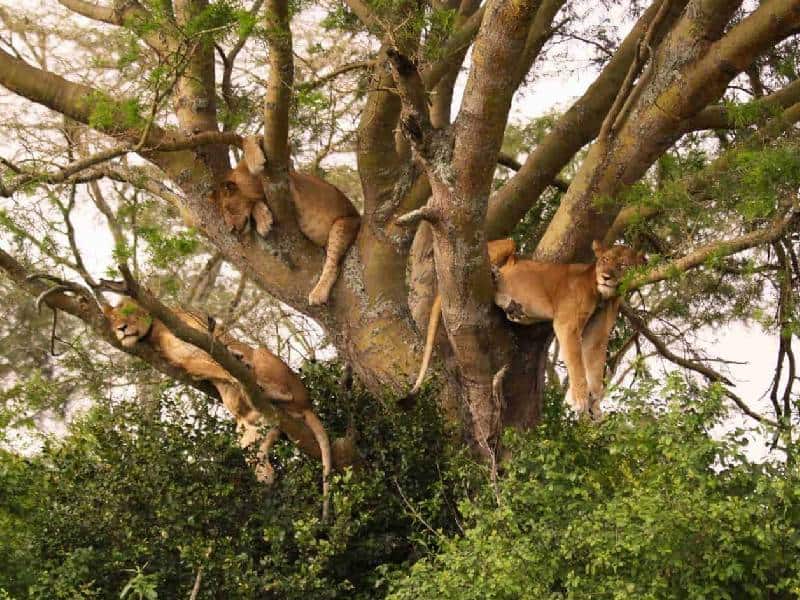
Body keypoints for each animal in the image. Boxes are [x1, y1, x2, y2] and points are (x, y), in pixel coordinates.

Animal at [103, 299, 332, 519]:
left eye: (130, 313)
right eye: (113, 319)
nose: (120, 328)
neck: (155, 331)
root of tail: (308, 404)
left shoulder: (203, 337)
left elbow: (223, 359)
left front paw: (238, 362)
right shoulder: (187, 363)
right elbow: (215, 369)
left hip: (265, 357)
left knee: (280, 388)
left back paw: (266, 389)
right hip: (253, 434)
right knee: (257, 451)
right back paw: (265, 480)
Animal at [210, 136, 360, 306]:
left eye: (229, 209)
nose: (231, 230)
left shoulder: (286, 171)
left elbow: (250, 138)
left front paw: (255, 161)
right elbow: (255, 204)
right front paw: (263, 221)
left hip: (343, 224)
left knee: (333, 265)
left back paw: (318, 293)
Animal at [494, 240, 645, 418]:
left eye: (622, 265)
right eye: (605, 259)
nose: (606, 277)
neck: (603, 296)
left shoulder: (598, 333)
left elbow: (596, 366)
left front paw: (595, 404)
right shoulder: (567, 324)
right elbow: (576, 362)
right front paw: (579, 399)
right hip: (509, 243)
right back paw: (500, 286)